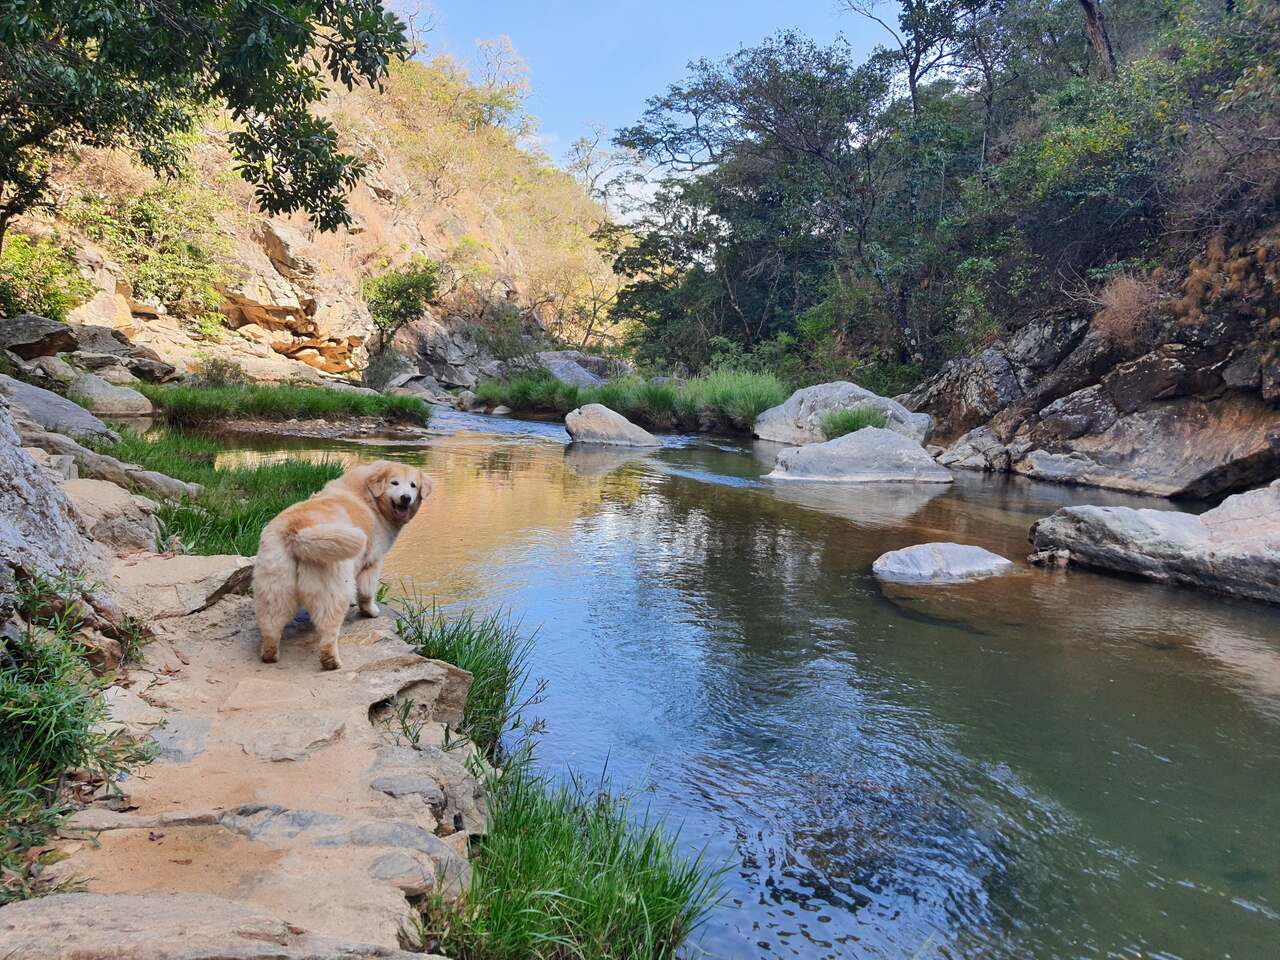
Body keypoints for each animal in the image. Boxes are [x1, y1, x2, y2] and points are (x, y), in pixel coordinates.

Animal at [254, 463, 435, 670]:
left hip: (274, 586)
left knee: (271, 625)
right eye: (394, 483)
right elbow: (366, 592)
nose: (406, 498)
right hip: (331, 586)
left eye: (413, 485)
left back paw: (270, 654)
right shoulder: (373, 562)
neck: (369, 498)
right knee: (328, 631)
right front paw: (370, 611)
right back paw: (332, 661)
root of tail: (298, 532)